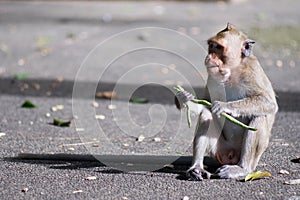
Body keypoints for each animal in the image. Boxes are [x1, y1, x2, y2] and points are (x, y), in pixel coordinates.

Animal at [175, 23, 278, 180]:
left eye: (218, 47)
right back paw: (197, 168)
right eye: (211, 45)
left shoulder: (252, 71)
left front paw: (223, 106)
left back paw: (242, 169)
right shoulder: (212, 77)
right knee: (206, 115)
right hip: (219, 149)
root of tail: (231, 156)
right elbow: (206, 103)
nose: (209, 56)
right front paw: (184, 99)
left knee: (259, 116)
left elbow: (269, 103)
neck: (232, 71)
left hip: (251, 159)